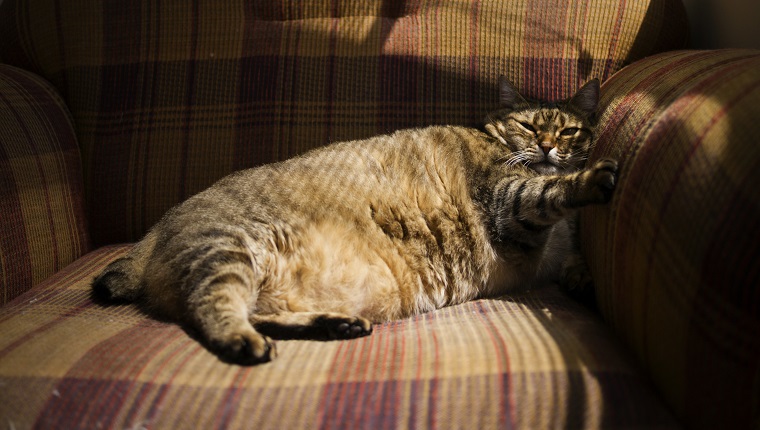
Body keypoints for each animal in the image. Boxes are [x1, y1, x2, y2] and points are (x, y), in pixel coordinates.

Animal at [92, 76, 616, 362]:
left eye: (568, 131)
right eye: (528, 126)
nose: (546, 147)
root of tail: (154, 232)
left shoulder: (556, 249)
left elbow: (574, 258)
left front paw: (586, 278)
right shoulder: (508, 204)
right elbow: (547, 193)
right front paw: (590, 179)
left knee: (261, 312)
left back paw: (335, 325)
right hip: (229, 249)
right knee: (215, 309)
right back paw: (245, 343)